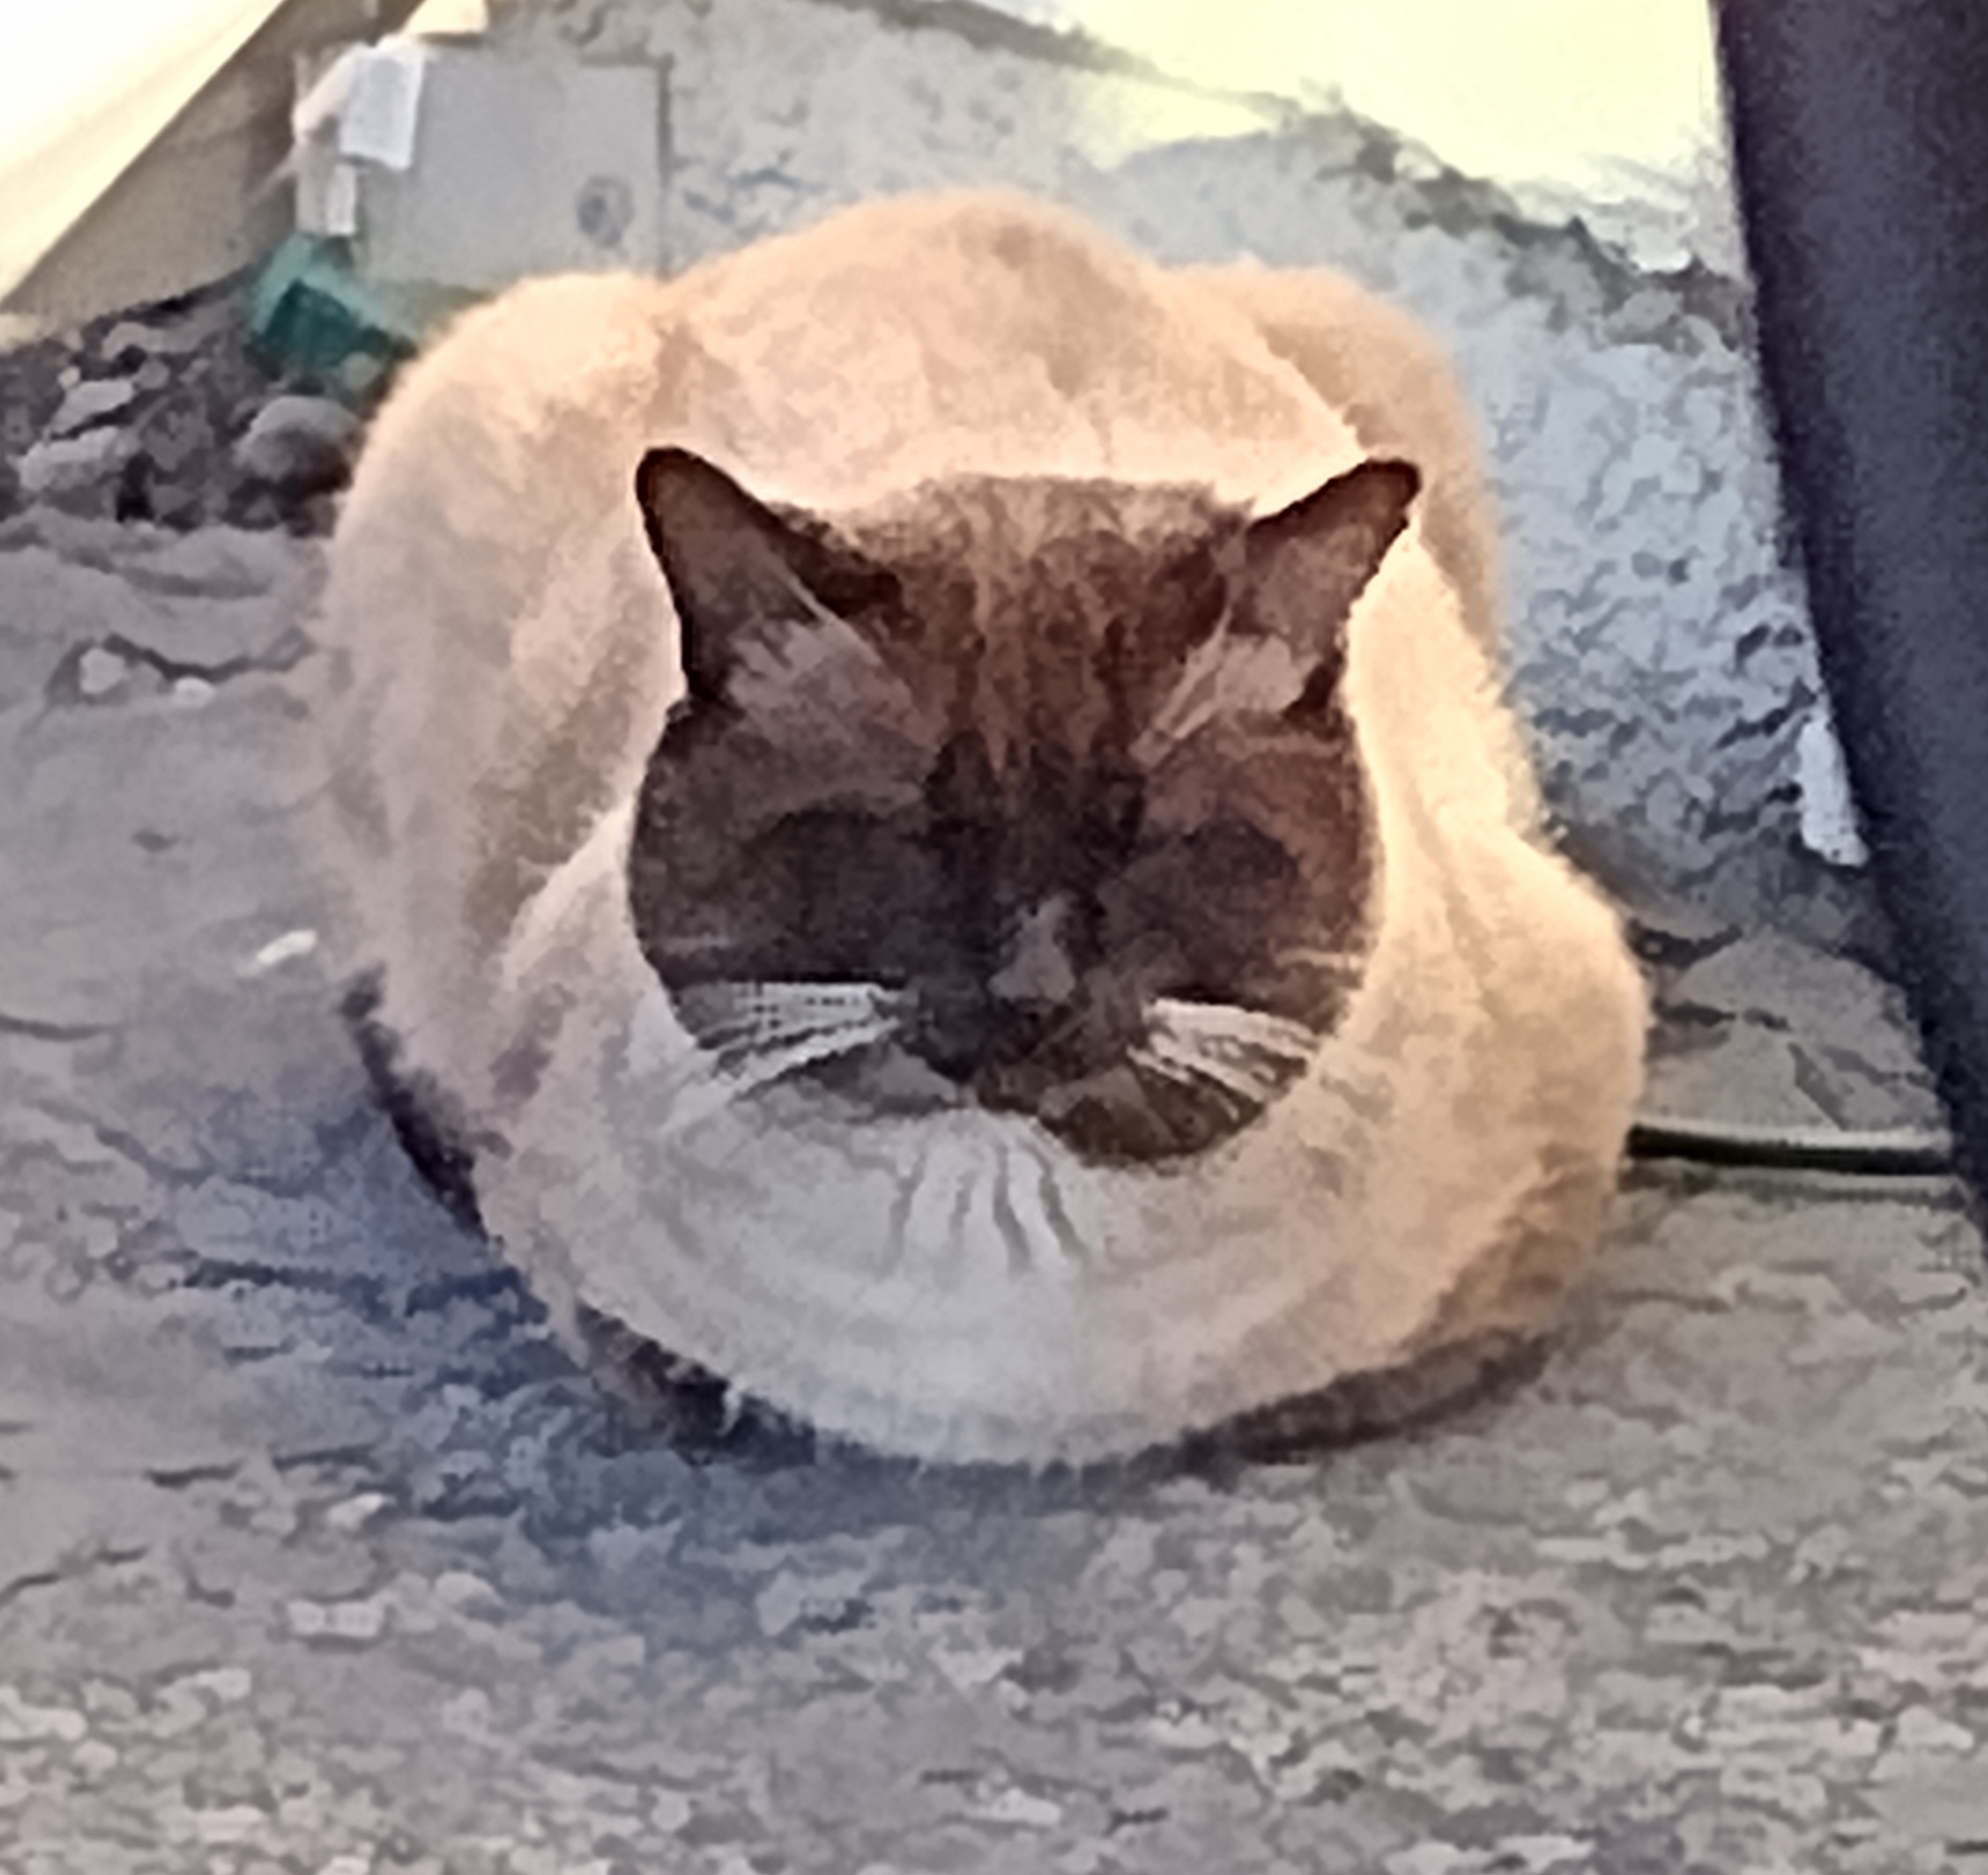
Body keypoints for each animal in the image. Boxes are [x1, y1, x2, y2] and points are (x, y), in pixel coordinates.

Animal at [319, 190, 1648, 1466]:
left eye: (1137, 838)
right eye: (915, 833)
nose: (1031, 989)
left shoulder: (1546, 1187)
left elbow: (1341, 1388)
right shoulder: (537, 1182)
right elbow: (646, 1360)